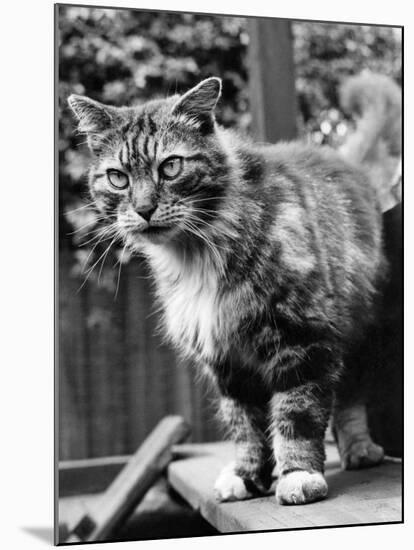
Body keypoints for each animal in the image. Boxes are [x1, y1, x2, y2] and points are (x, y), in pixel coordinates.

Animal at [68, 71, 402, 506]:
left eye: (170, 167)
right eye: (118, 178)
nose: (143, 209)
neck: (195, 257)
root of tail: (342, 161)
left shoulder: (302, 339)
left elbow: (296, 415)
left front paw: (298, 475)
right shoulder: (229, 361)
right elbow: (246, 427)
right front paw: (248, 476)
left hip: (359, 336)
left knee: (350, 401)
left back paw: (360, 450)